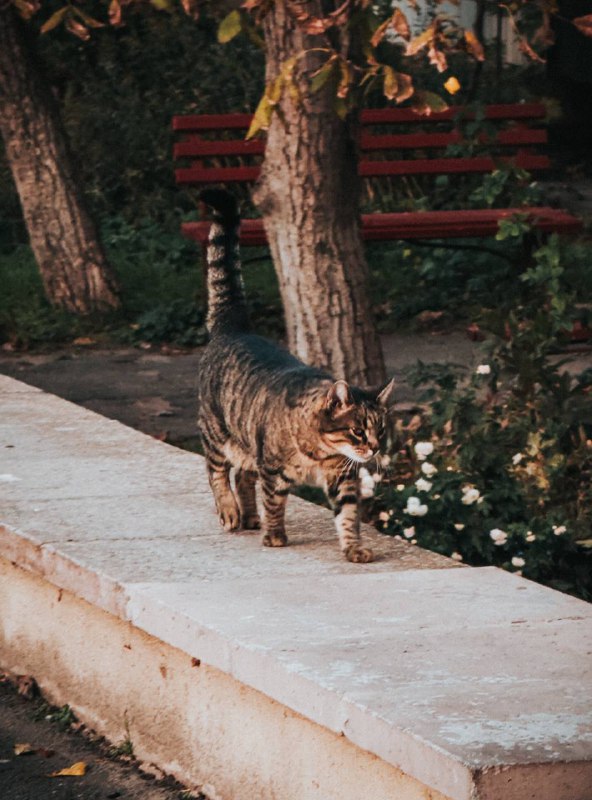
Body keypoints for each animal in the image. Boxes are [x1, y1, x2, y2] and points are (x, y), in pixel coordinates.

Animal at [197, 189, 396, 564]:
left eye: (381, 430)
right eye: (357, 431)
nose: (375, 448)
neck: (322, 452)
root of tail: (234, 327)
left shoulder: (343, 479)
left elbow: (349, 517)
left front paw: (354, 548)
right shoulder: (273, 471)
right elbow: (275, 503)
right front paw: (275, 535)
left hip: (248, 444)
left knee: (242, 476)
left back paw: (249, 515)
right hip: (216, 433)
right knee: (217, 472)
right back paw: (230, 511)